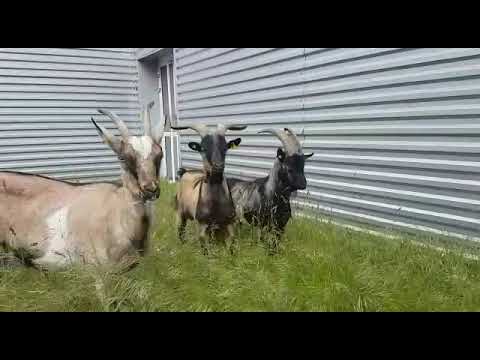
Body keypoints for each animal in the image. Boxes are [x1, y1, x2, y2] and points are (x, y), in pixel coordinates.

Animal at [170, 122, 248, 255]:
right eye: (203, 148)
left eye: (225, 148)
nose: (217, 168)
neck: (215, 204)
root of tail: (185, 172)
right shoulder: (202, 225)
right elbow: (205, 249)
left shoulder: (228, 224)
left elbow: (231, 245)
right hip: (180, 213)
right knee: (180, 231)